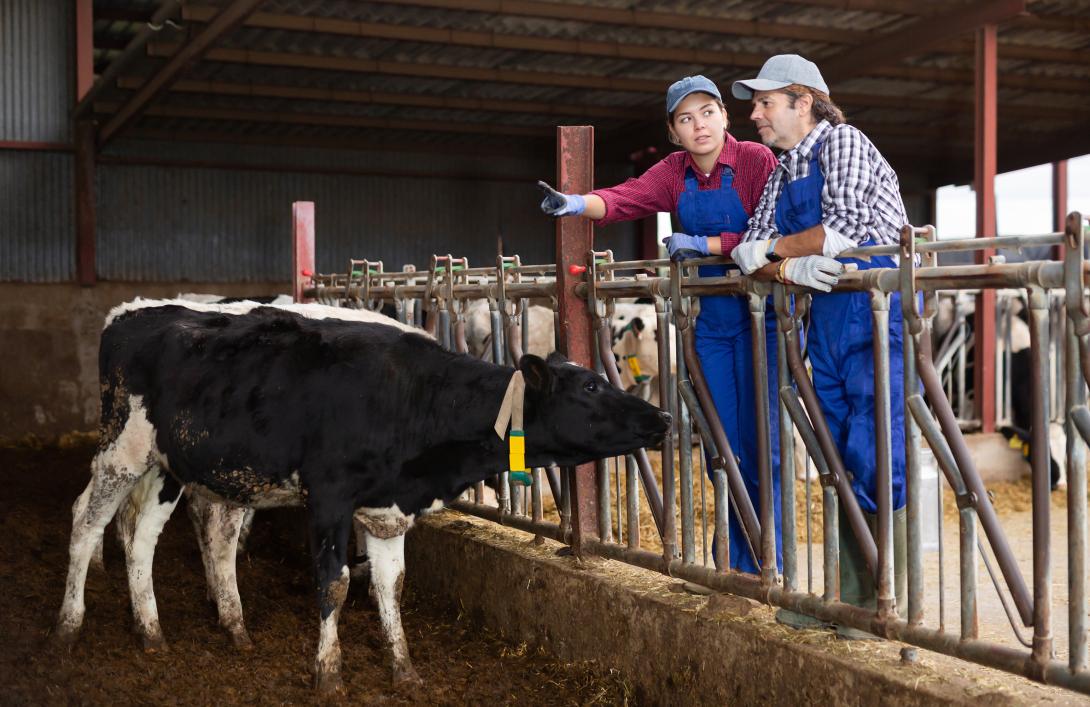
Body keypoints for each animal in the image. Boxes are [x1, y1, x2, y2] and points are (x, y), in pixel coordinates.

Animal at [59, 300, 671, 692]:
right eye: (590, 385)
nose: (662, 418)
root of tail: (134, 313)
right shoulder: (331, 497)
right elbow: (335, 584)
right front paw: (328, 673)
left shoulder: (385, 509)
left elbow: (390, 586)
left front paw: (405, 670)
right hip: (123, 447)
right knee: (87, 520)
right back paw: (68, 625)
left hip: (171, 463)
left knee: (143, 540)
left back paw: (156, 632)